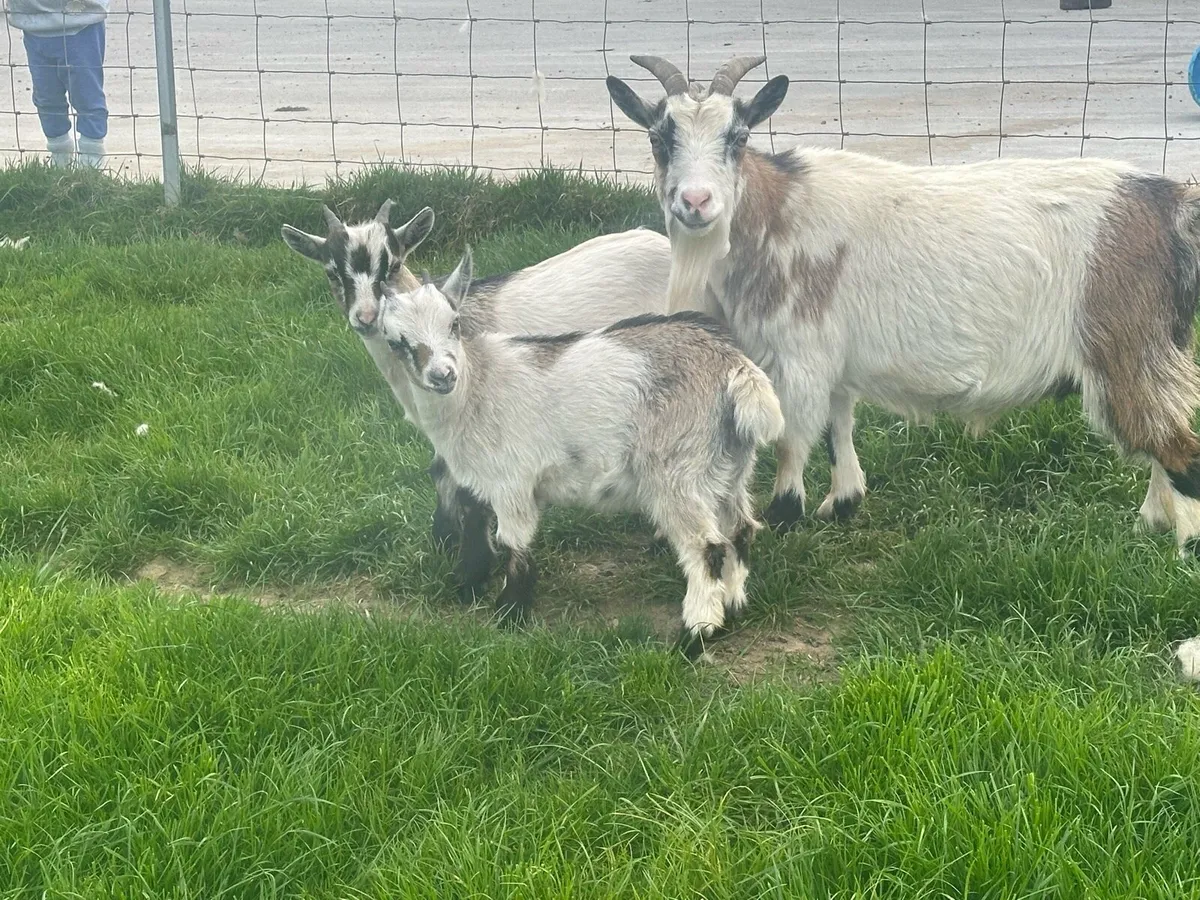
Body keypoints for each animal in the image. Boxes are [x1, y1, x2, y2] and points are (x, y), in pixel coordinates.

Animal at [375, 247, 784, 655]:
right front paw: (469, 584)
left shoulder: (512, 483)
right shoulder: (479, 480)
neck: (477, 389)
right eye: (396, 341)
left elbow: (514, 545)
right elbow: (475, 523)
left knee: (707, 547)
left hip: (677, 472)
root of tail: (733, 366)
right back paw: (732, 605)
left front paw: (509, 614)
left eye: (454, 324)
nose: (443, 375)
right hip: (728, 468)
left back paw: (695, 633)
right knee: (740, 530)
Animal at [607, 54, 1200, 563]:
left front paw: (780, 518)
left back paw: (1182, 547)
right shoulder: (833, 357)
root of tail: (1168, 203)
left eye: (739, 136)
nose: (696, 202)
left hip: (1126, 345)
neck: (773, 217)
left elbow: (794, 439)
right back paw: (1151, 522)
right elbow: (838, 424)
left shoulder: (802, 352)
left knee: (1180, 449)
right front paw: (843, 502)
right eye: (659, 138)